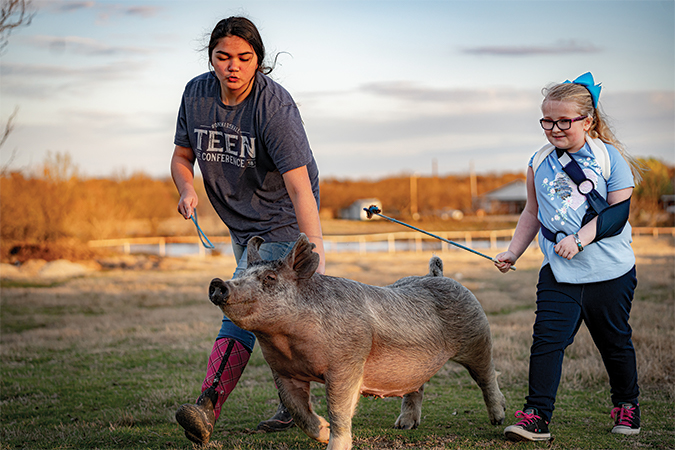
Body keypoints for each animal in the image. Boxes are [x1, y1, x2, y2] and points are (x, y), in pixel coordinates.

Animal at [209, 234, 504, 448]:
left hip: (478, 334)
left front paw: (334, 442)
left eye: (269, 278)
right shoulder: (283, 370)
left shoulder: (346, 363)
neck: (288, 342)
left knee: (487, 375)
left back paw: (498, 418)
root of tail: (437, 275)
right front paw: (323, 431)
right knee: (417, 387)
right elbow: (297, 410)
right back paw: (404, 426)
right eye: (238, 276)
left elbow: (339, 409)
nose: (218, 283)